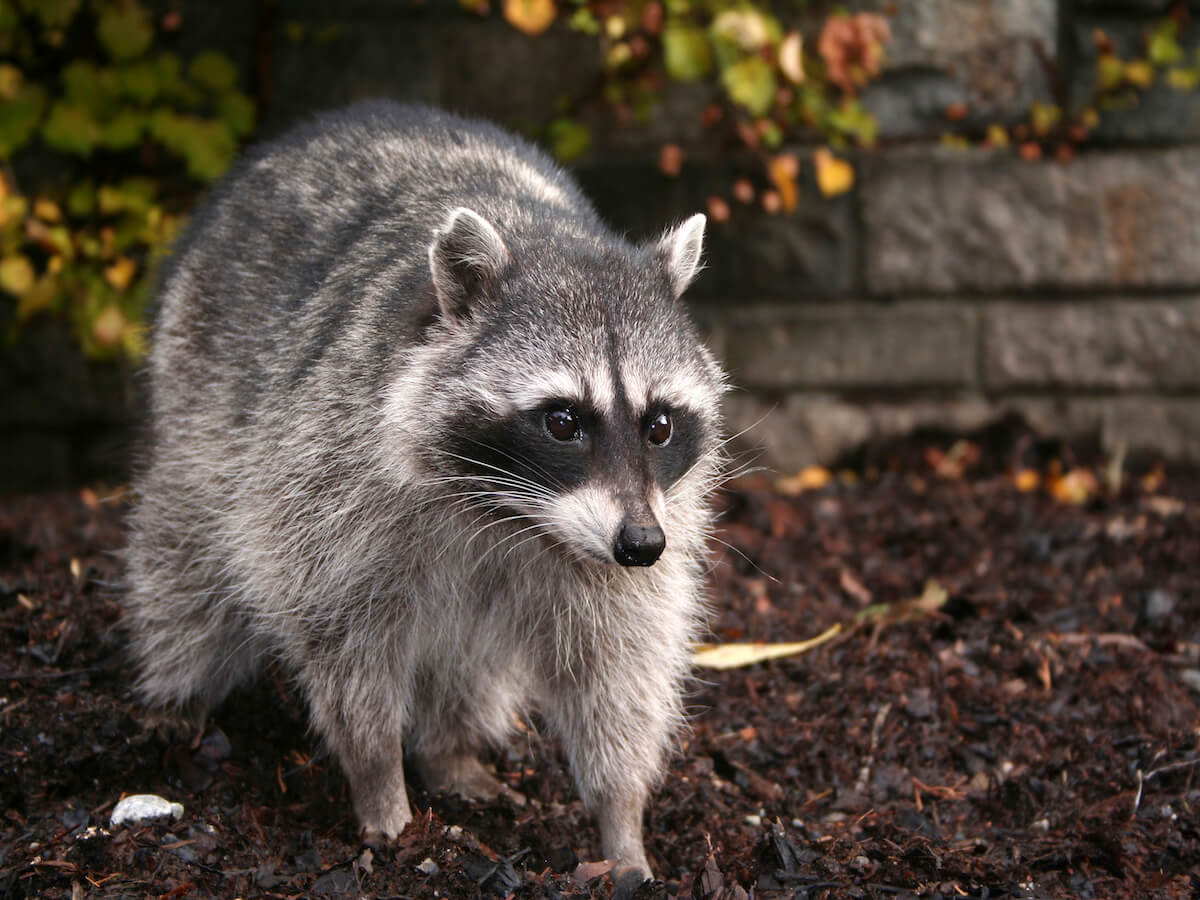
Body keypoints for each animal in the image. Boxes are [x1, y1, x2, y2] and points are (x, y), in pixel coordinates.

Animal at [125, 101, 726, 885]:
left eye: (659, 425)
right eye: (563, 421)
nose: (641, 545)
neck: (510, 514)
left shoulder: (642, 525)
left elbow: (619, 665)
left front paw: (621, 823)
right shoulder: (325, 471)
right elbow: (341, 635)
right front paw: (381, 783)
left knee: (465, 658)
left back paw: (450, 749)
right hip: (199, 381)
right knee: (184, 549)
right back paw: (179, 688)